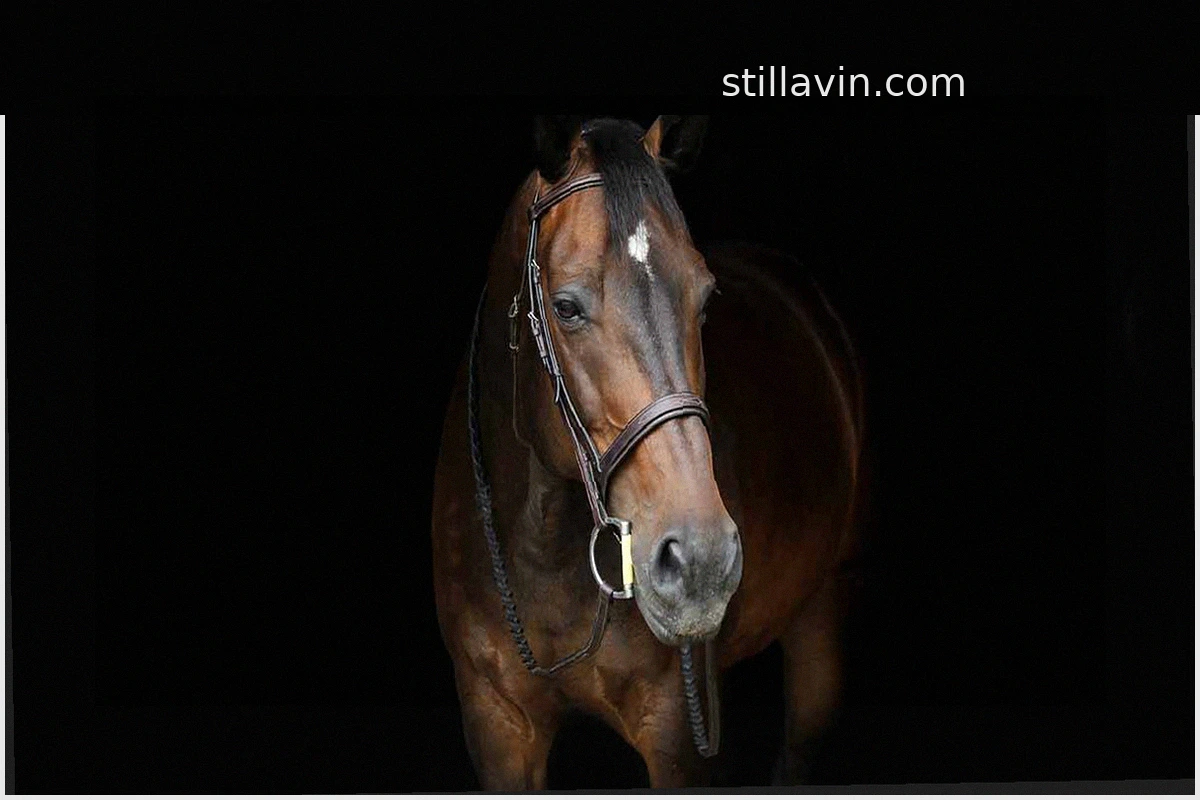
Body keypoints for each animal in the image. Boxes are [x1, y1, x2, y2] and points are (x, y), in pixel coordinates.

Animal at [431, 115, 863, 789]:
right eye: (566, 307)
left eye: (705, 300)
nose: (702, 561)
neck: (543, 546)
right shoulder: (496, 723)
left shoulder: (675, 734)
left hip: (823, 614)